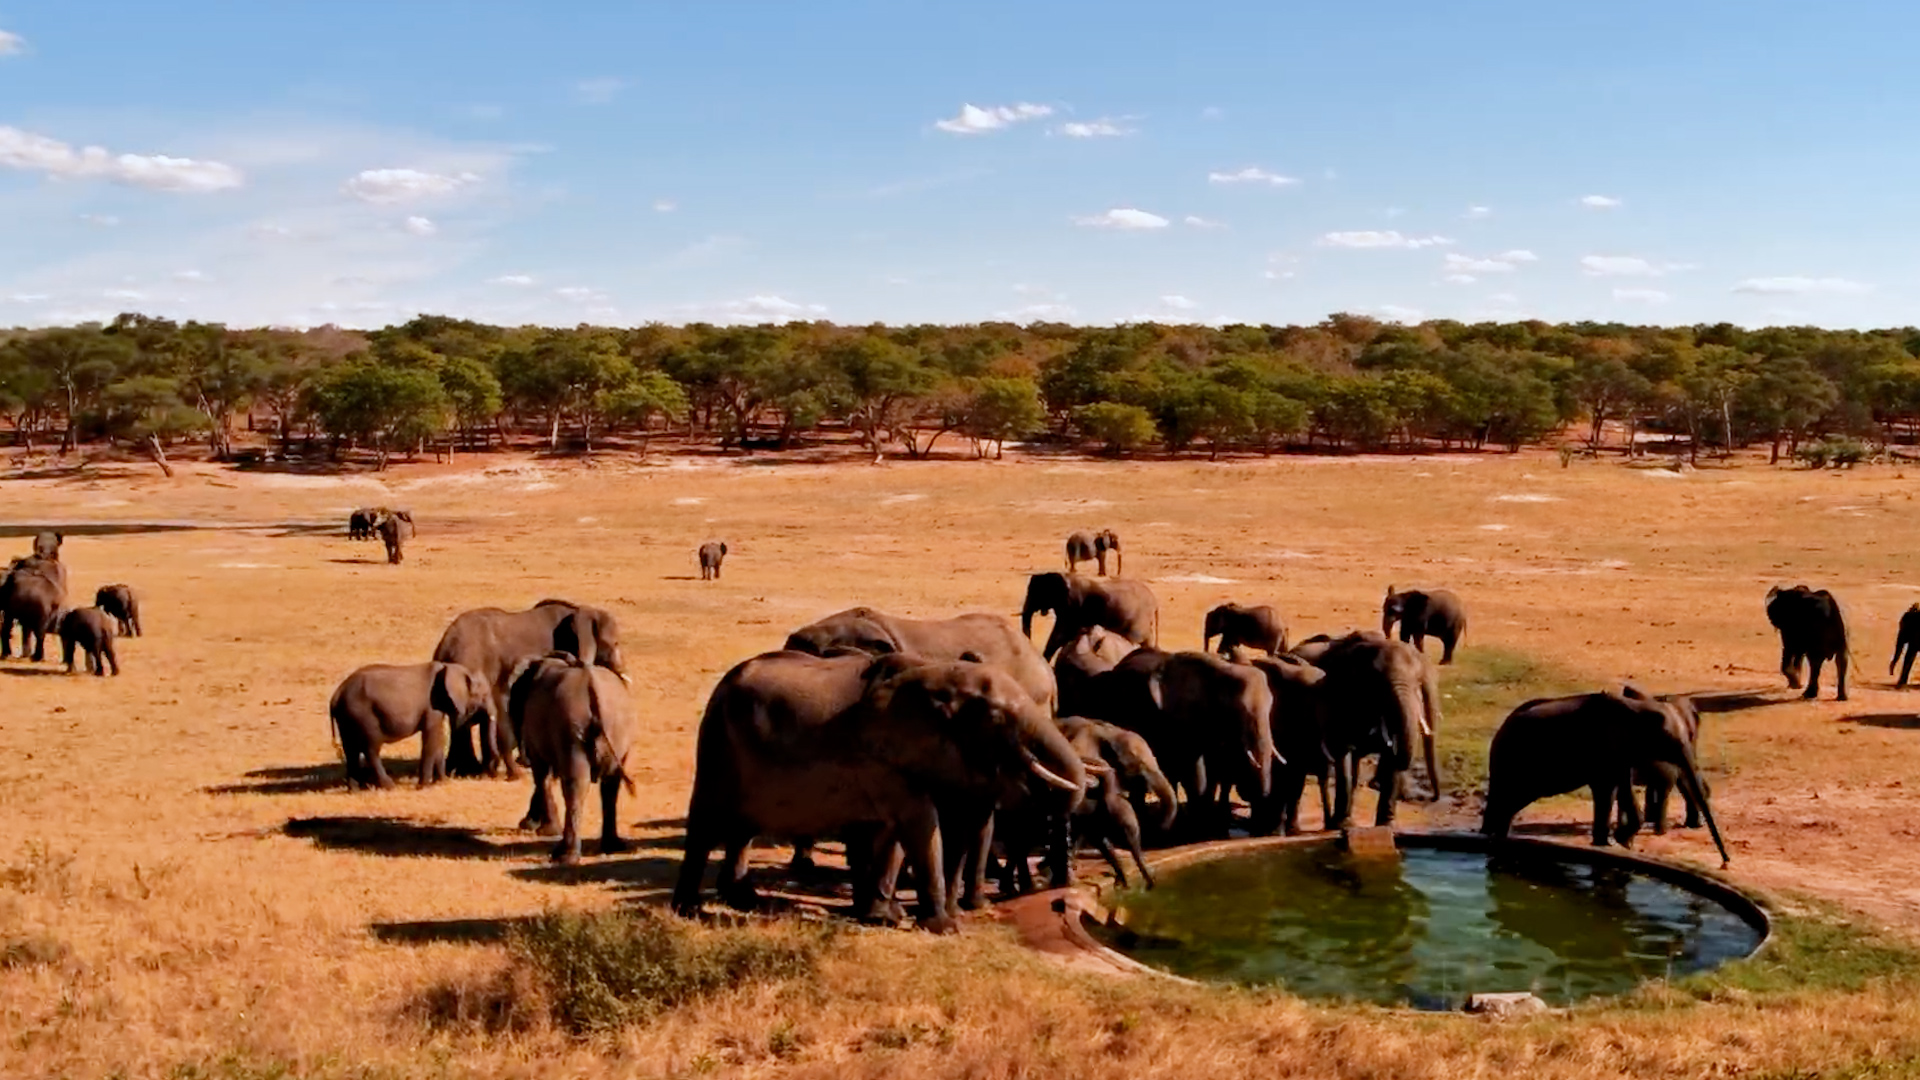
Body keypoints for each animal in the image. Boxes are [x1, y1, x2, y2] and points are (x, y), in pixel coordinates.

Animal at [329, 661, 490, 789]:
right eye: (483, 696)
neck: (450, 667)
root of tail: (335, 697)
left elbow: (437, 739)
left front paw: (442, 783)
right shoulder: (432, 705)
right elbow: (430, 739)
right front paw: (424, 787)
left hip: (347, 716)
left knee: (351, 750)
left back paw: (354, 790)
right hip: (363, 714)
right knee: (370, 749)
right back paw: (389, 787)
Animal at [508, 652, 642, 864]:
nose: (521, 760)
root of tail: (592, 686)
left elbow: (542, 775)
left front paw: (546, 831)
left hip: (570, 725)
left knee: (575, 785)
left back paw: (564, 857)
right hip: (618, 726)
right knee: (611, 784)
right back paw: (613, 847)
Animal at [673, 651, 1085, 932]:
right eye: (998, 718)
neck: (937, 674)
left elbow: (892, 835)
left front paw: (885, 916)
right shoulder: (881, 757)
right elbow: (920, 824)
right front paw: (944, 928)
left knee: (743, 827)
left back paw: (742, 899)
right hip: (716, 741)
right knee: (706, 822)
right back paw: (688, 911)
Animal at [1288, 631, 1440, 828]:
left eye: (1417, 684)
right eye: (1379, 684)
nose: (1430, 798)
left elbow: (1389, 756)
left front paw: (1386, 825)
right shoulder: (1337, 695)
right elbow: (1342, 750)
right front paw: (1344, 824)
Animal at [1481, 686, 1731, 867]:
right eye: (1669, 741)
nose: (1726, 862)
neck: (1637, 708)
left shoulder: (1619, 752)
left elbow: (1615, 789)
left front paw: (1615, 843)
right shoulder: (1602, 746)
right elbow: (1606, 788)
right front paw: (1618, 841)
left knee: (1507, 804)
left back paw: (1497, 836)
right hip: (1510, 760)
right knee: (1504, 798)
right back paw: (1491, 838)